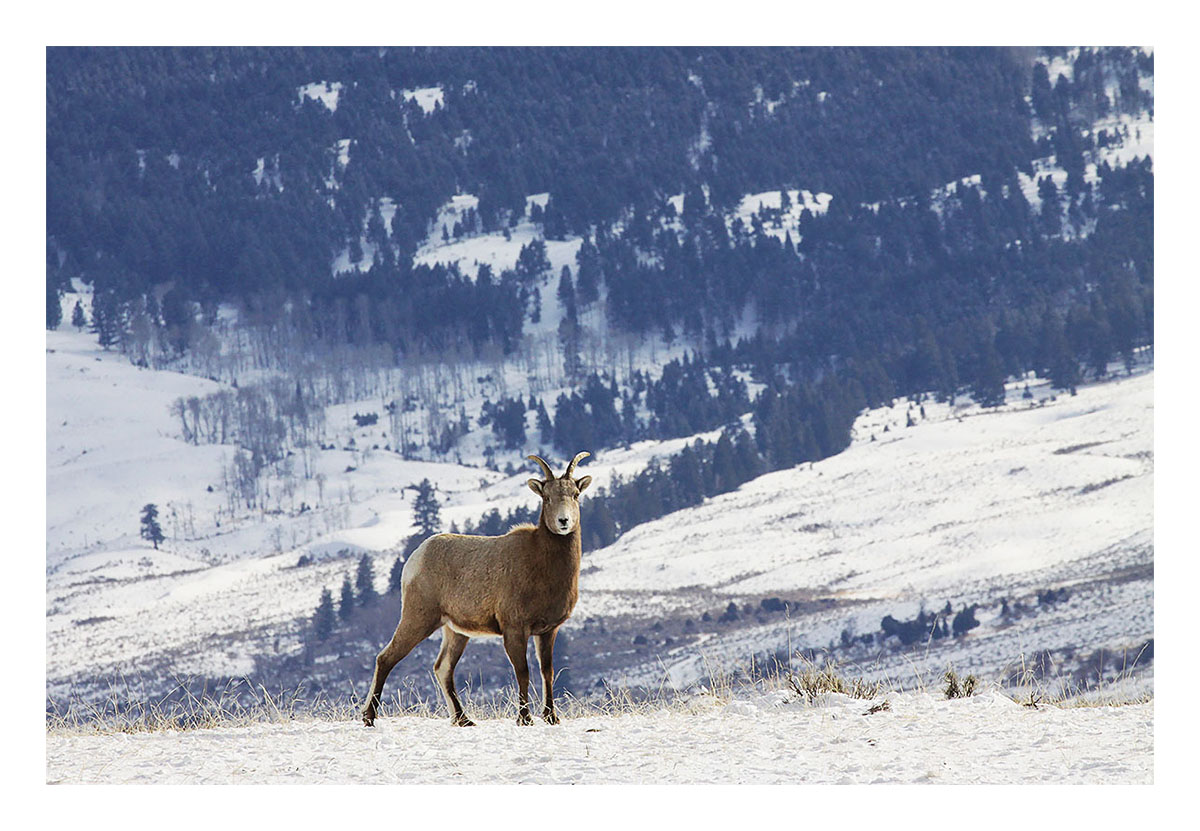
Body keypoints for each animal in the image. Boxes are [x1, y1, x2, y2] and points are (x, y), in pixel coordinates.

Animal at [362, 449, 592, 725]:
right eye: (546, 497)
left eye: (575, 495)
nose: (563, 521)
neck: (542, 566)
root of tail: (415, 558)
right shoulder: (515, 629)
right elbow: (523, 672)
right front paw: (524, 719)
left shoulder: (548, 631)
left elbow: (547, 671)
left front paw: (551, 717)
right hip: (418, 619)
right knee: (386, 658)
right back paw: (369, 717)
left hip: (455, 632)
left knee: (443, 668)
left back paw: (463, 719)